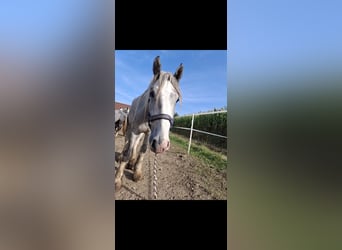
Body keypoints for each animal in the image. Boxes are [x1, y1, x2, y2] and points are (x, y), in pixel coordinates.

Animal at [115, 56, 183, 189]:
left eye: (177, 99)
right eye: (151, 93)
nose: (162, 145)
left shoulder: (148, 133)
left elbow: (143, 150)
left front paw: (136, 172)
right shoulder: (134, 131)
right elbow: (127, 152)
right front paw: (117, 180)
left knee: (136, 145)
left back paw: (132, 162)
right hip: (130, 129)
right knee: (128, 143)